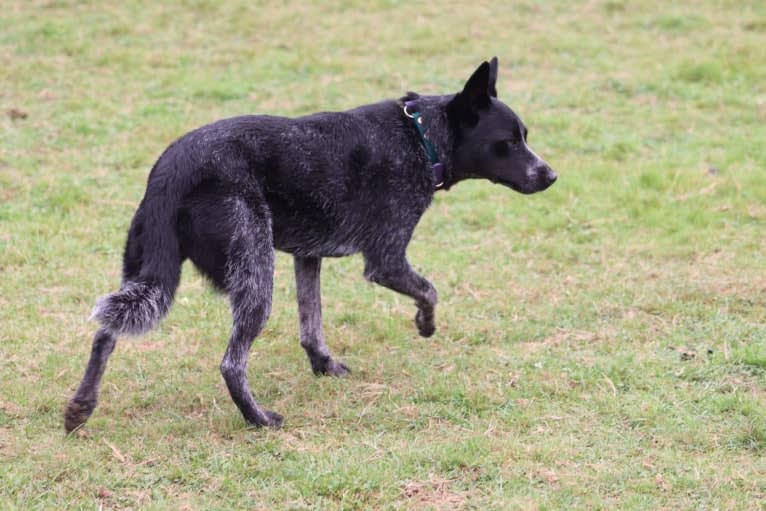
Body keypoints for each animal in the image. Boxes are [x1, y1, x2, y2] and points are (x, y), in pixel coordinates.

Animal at [64, 57, 560, 432]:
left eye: (526, 137)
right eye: (508, 142)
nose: (551, 176)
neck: (420, 136)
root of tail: (170, 172)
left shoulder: (308, 255)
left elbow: (311, 322)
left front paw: (323, 364)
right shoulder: (386, 260)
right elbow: (430, 290)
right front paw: (425, 325)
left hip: (145, 274)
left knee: (105, 334)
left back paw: (81, 407)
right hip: (254, 274)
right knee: (230, 363)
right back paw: (258, 419)